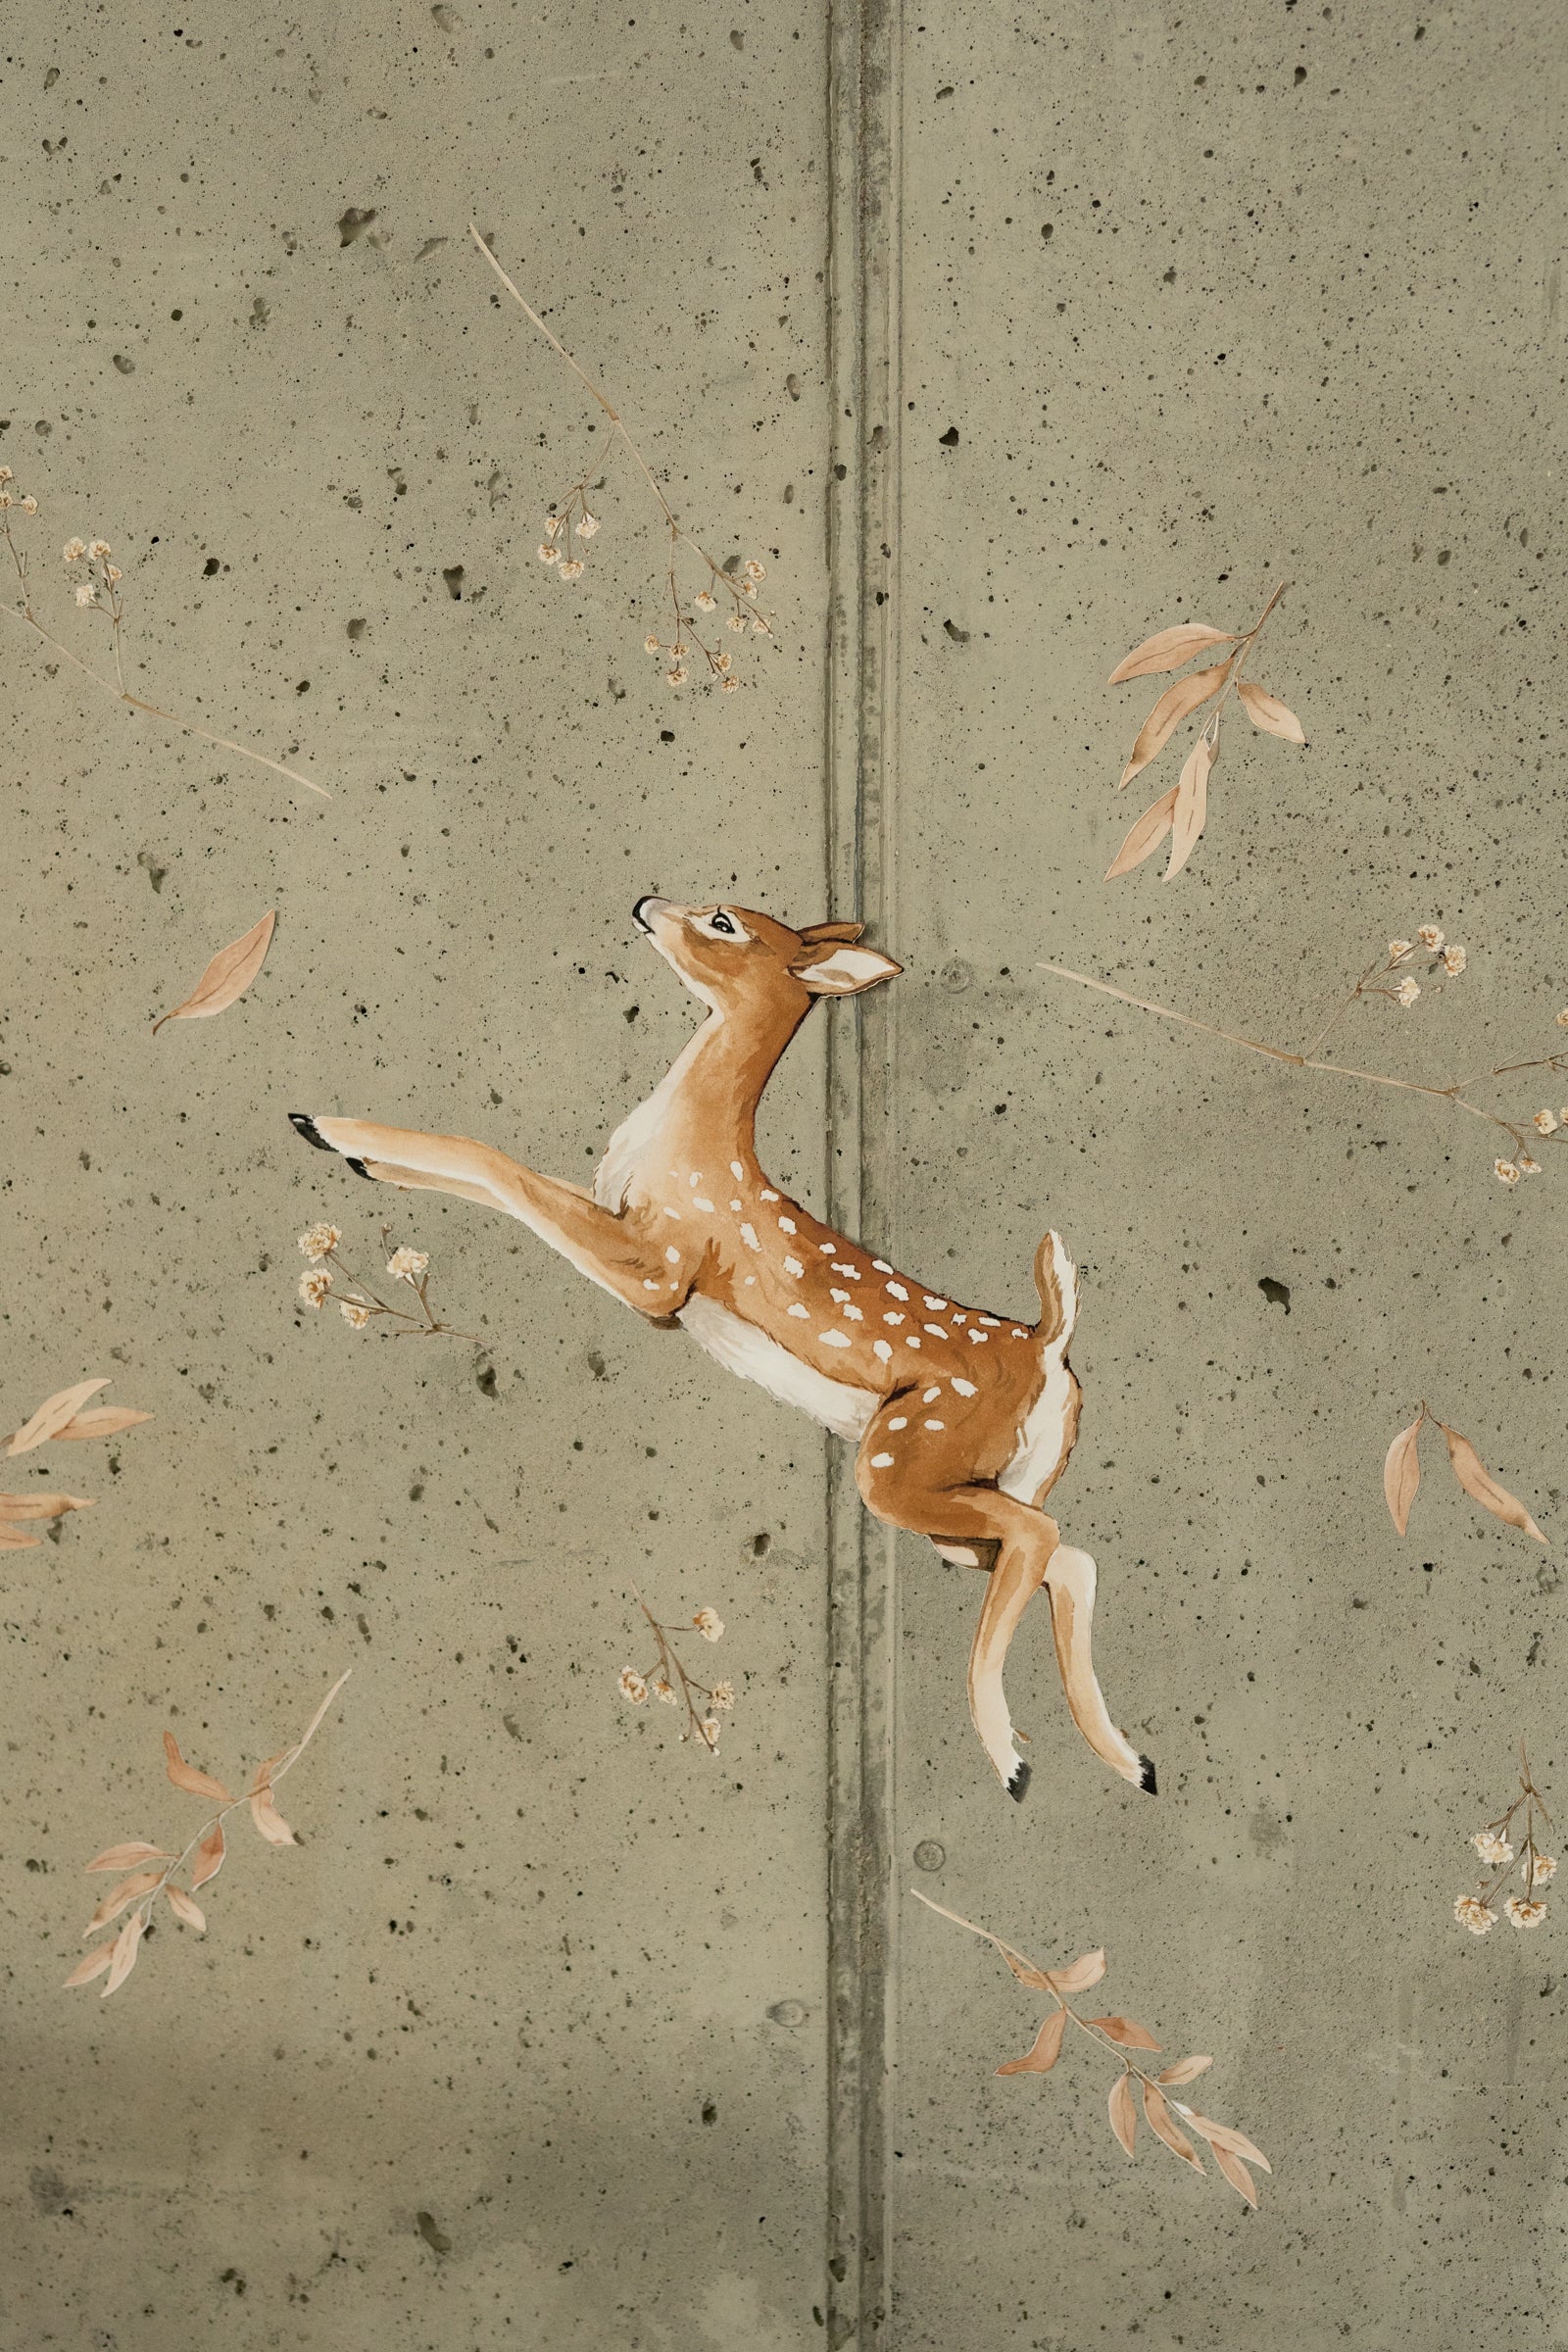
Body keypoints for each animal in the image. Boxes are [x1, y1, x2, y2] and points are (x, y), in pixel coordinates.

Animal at [289, 896, 1155, 1806]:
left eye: (725, 920)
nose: (644, 903)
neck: (683, 1150)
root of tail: (1050, 1349)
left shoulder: (661, 1270)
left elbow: (500, 1167)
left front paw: (327, 1127)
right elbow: (498, 1175)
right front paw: (342, 1143)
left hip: (905, 1458)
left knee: (1042, 1535)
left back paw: (1013, 1761)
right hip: (971, 1490)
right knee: (1068, 1552)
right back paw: (1129, 1763)